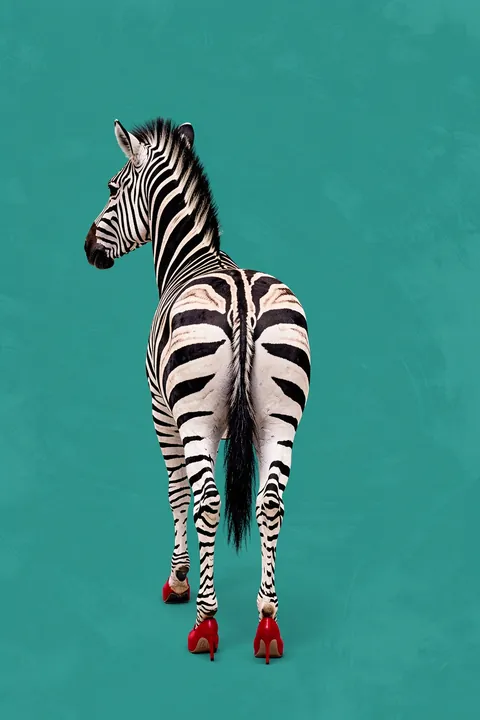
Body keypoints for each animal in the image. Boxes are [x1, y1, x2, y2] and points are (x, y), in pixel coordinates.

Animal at [84, 116, 311, 663]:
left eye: (112, 188)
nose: (87, 248)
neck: (194, 259)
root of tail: (243, 297)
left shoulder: (162, 414)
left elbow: (175, 492)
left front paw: (179, 580)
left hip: (195, 419)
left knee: (207, 499)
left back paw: (205, 622)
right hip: (282, 420)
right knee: (270, 502)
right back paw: (267, 621)